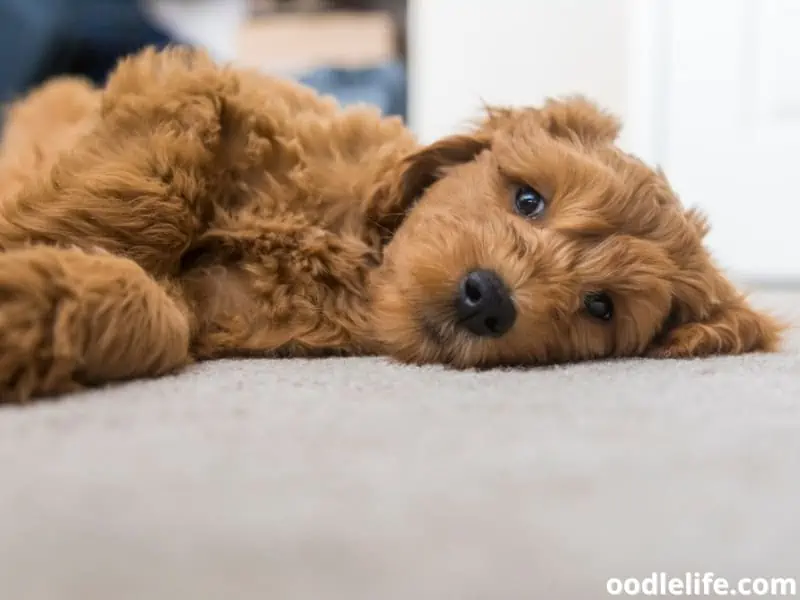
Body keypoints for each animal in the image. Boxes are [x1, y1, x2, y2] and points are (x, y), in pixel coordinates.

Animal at [0, 48, 784, 404]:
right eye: (529, 200)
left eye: (599, 306)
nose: (488, 299)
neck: (358, 248)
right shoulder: (192, 89)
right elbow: (148, 192)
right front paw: (35, 236)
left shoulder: (217, 310)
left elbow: (158, 314)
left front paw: (30, 299)